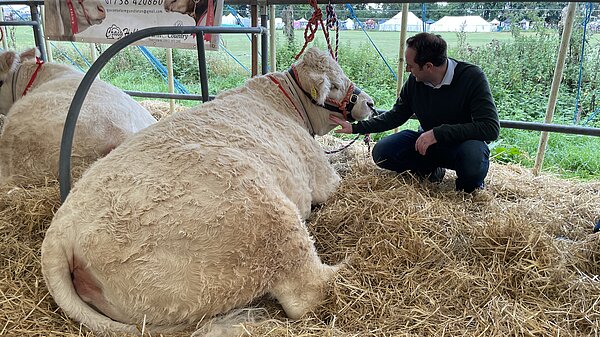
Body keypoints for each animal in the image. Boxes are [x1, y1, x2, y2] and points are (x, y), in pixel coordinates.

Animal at [39, 46, 372, 334]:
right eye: (337, 85)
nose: (369, 103)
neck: (283, 104)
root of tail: (61, 232)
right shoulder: (321, 175)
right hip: (266, 214)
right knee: (306, 295)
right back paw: (349, 265)